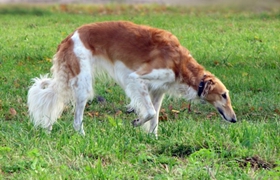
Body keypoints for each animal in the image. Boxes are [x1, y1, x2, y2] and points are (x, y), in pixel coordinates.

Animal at [27, 20, 236, 136]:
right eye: (224, 95)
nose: (234, 119)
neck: (180, 63)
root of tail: (69, 37)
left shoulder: (158, 90)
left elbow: (155, 118)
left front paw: (153, 138)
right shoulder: (136, 79)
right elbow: (149, 113)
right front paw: (136, 122)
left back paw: (49, 130)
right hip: (83, 86)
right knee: (77, 121)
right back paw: (82, 136)